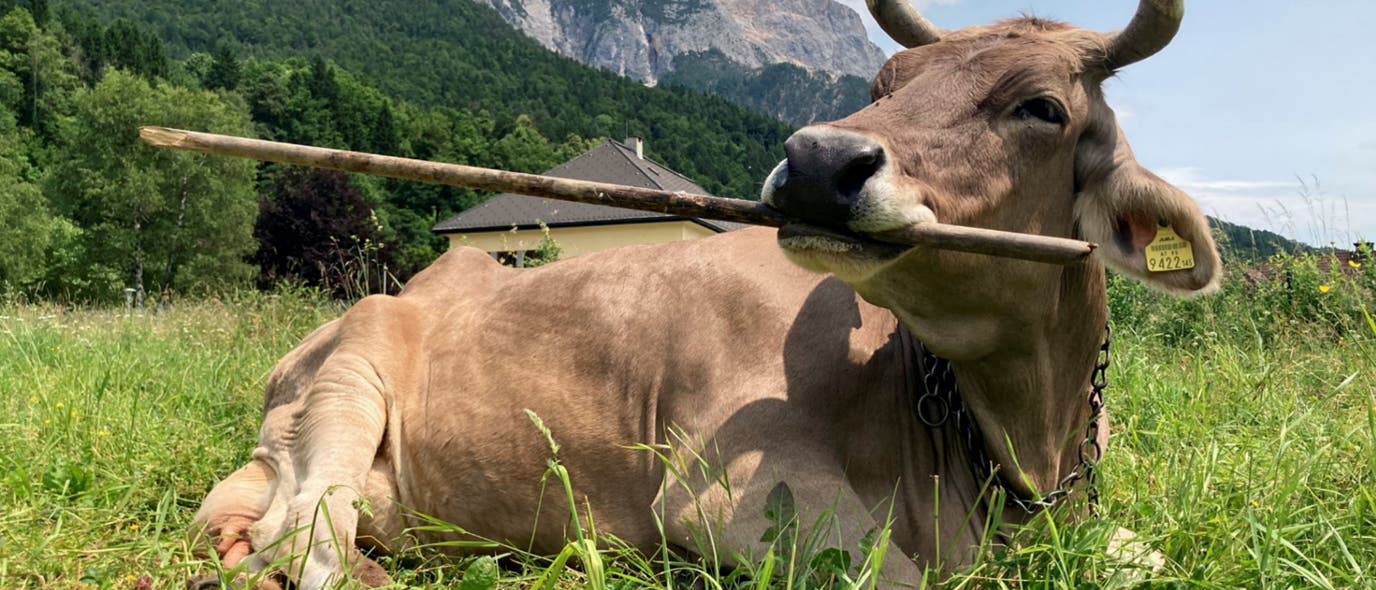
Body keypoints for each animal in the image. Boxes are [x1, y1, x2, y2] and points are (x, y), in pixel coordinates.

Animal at [190, 0, 1220, 587]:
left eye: (1041, 107)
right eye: (885, 80)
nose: (818, 160)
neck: (1020, 446)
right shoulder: (730, 497)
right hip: (350, 381)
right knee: (304, 542)